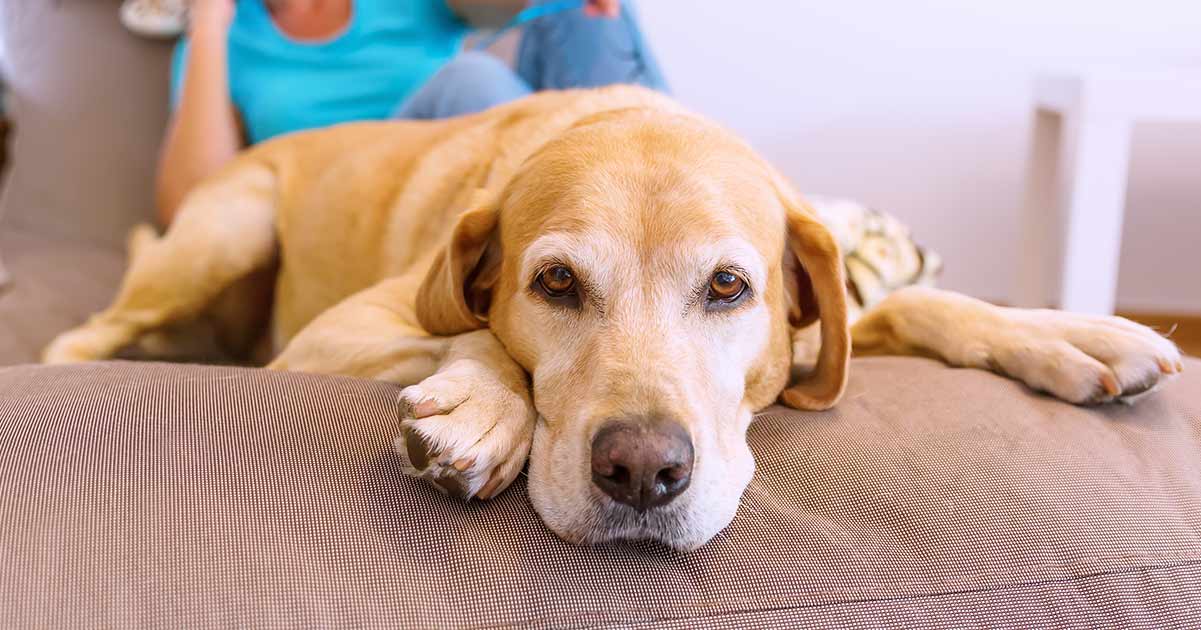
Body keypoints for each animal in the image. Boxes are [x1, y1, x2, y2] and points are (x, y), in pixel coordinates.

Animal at [46, 85, 1181, 547]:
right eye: (553, 284)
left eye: (728, 287)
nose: (641, 473)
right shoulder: (331, 336)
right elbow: (476, 332)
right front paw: (483, 412)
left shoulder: (816, 333)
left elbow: (924, 301)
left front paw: (1069, 332)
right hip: (222, 233)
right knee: (81, 336)